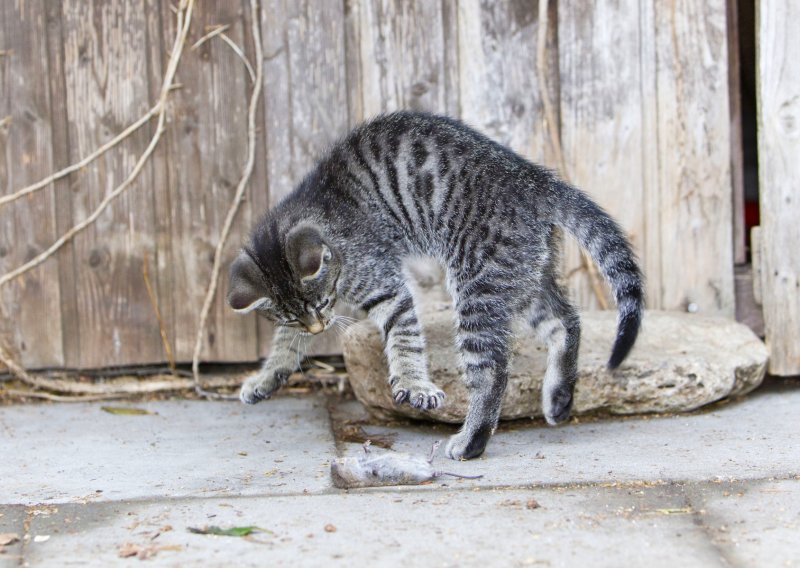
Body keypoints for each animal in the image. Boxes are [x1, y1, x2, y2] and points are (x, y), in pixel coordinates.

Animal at [227, 111, 644, 462]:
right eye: (296, 317)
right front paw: (266, 377)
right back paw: (558, 396)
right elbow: (285, 344)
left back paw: (472, 441)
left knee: (492, 370)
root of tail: (535, 181)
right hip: (524, 277)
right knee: (566, 321)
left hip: (479, 287)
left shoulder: (383, 281)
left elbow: (403, 336)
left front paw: (414, 384)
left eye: (324, 302)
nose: (317, 327)